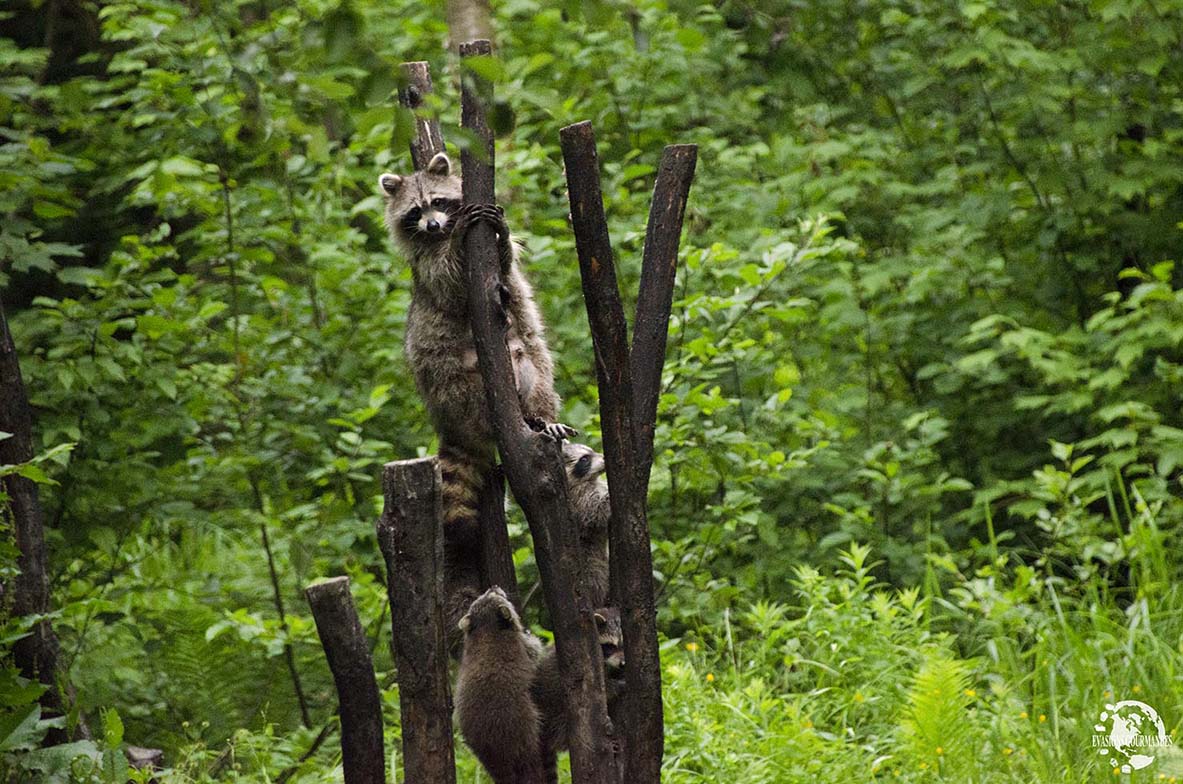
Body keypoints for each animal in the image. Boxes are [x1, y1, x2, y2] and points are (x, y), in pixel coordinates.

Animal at [454, 588, 546, 784]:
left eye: (485, 595)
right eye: (494, 595)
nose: (494, 586)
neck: (486, 629)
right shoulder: (522, 646)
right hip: (521, 724)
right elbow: (534, 649)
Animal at [563, 442, 610, 605]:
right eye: (584, 459)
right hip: (585, 560)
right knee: (595, 579)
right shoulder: (579, 499)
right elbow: (596, 513)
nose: (605, 457)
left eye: (592, 451)